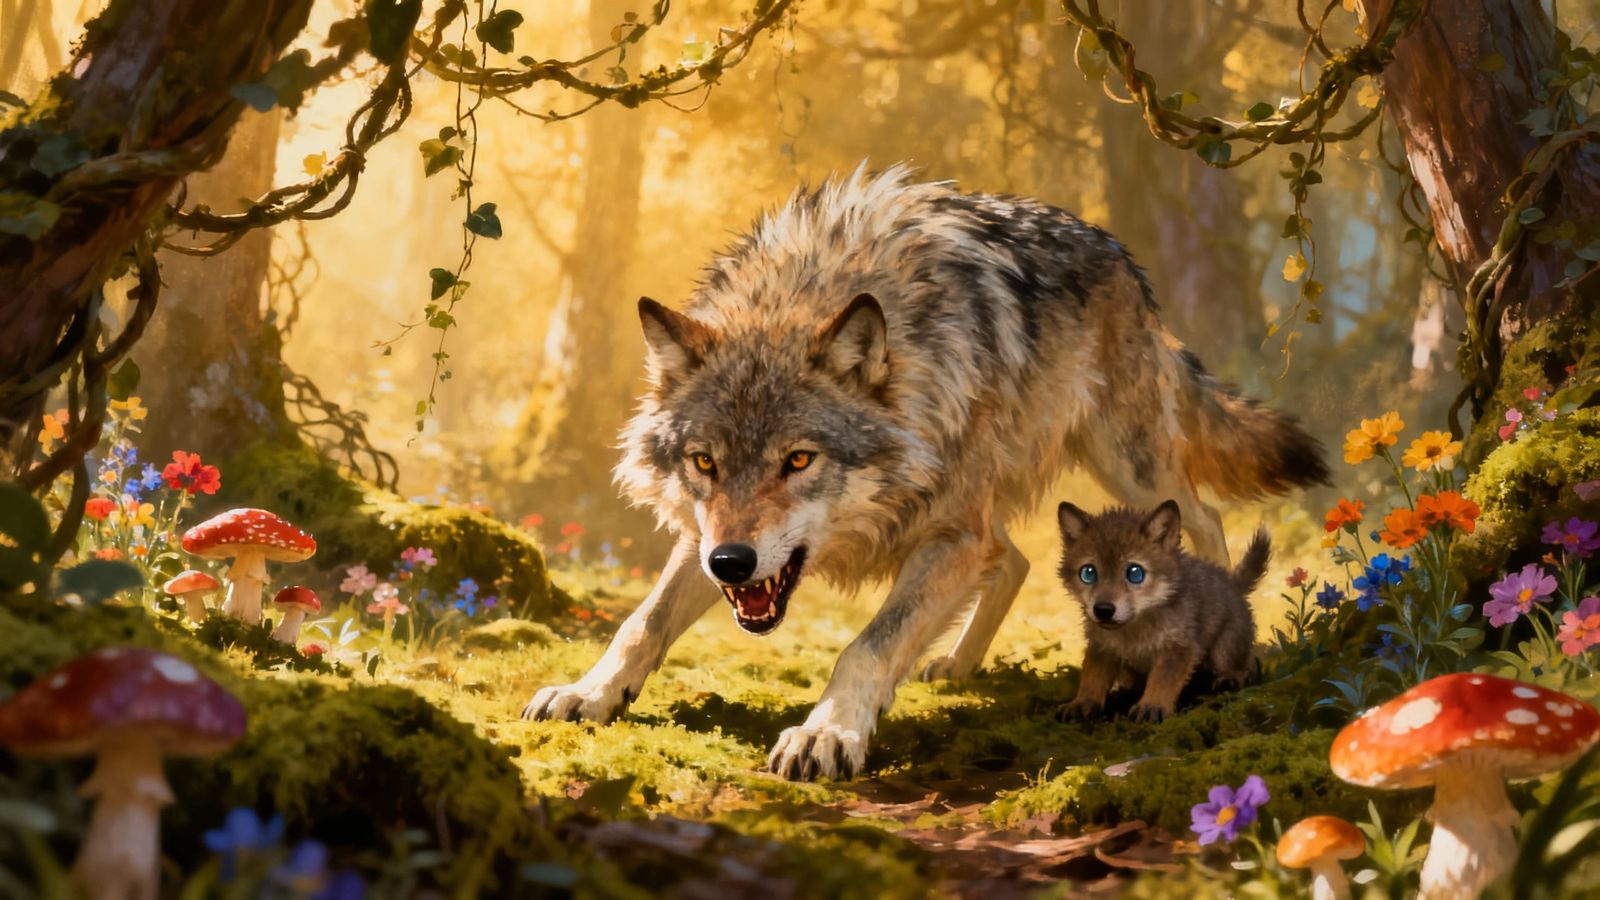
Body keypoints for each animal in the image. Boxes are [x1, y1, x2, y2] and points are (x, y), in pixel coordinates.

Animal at [1054, 500, 1268, 723]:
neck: (1133, 631)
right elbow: (1091, 678)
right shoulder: (1101, 648)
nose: (1103, 610)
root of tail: (1233, 584)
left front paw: (1151, 706)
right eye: (1088, 573)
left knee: (1250, 665)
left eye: (1135, 573)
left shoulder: (1178, 648)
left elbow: (1162, 682)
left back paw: (1231, 678)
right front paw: (1081, 704)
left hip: (1224, 649)